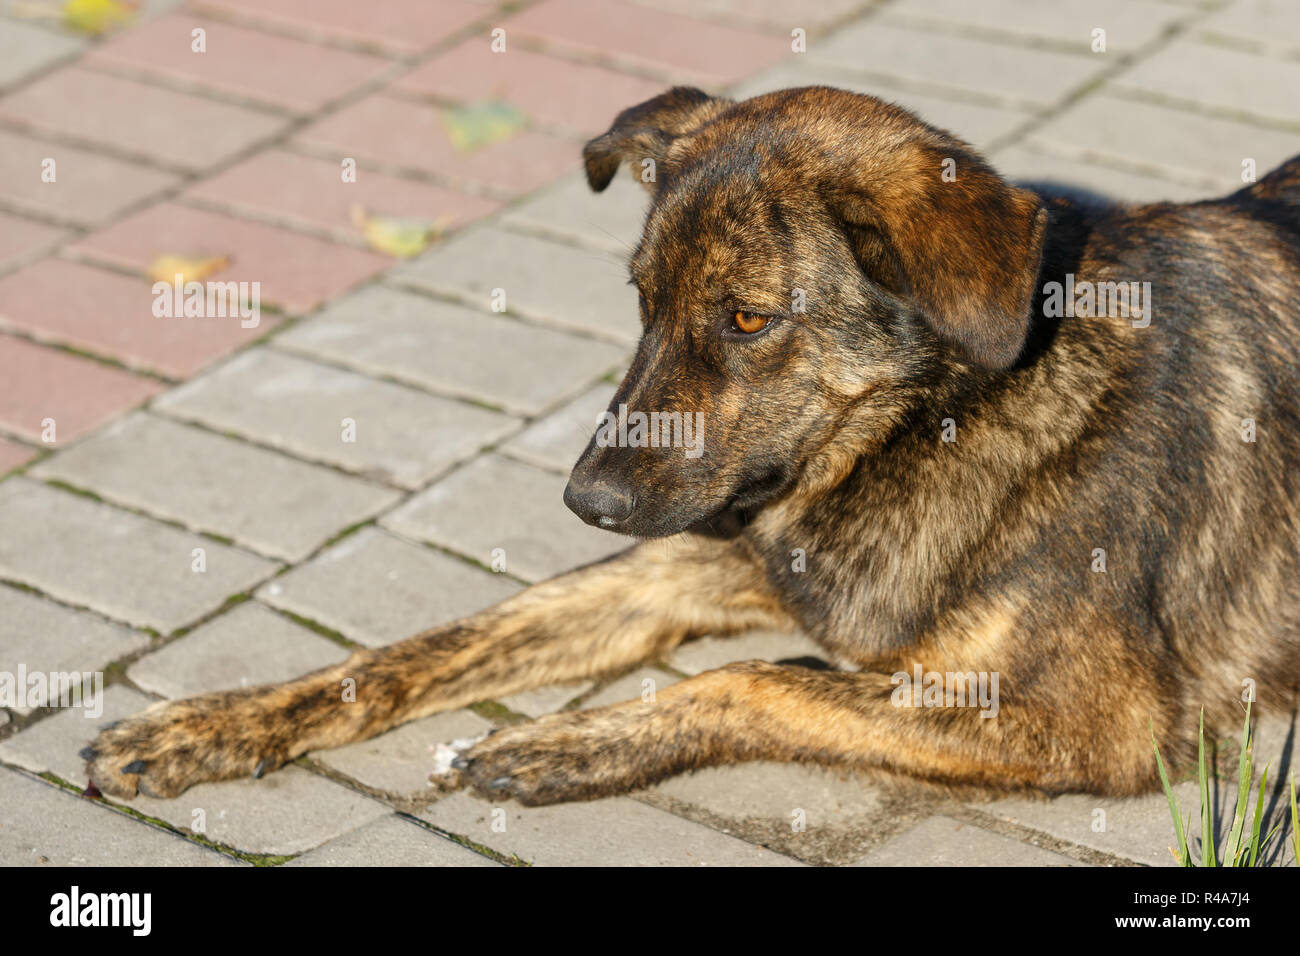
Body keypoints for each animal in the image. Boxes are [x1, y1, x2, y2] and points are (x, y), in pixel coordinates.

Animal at [83, 87, 1300, 806]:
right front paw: (211, 722)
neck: (931, 420)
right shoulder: (682, 555)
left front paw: (568, 742)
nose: (586, 502)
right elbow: (440, 641)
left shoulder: (1087, 724)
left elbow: (761, 682)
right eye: (642, 302)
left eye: (750, 319)